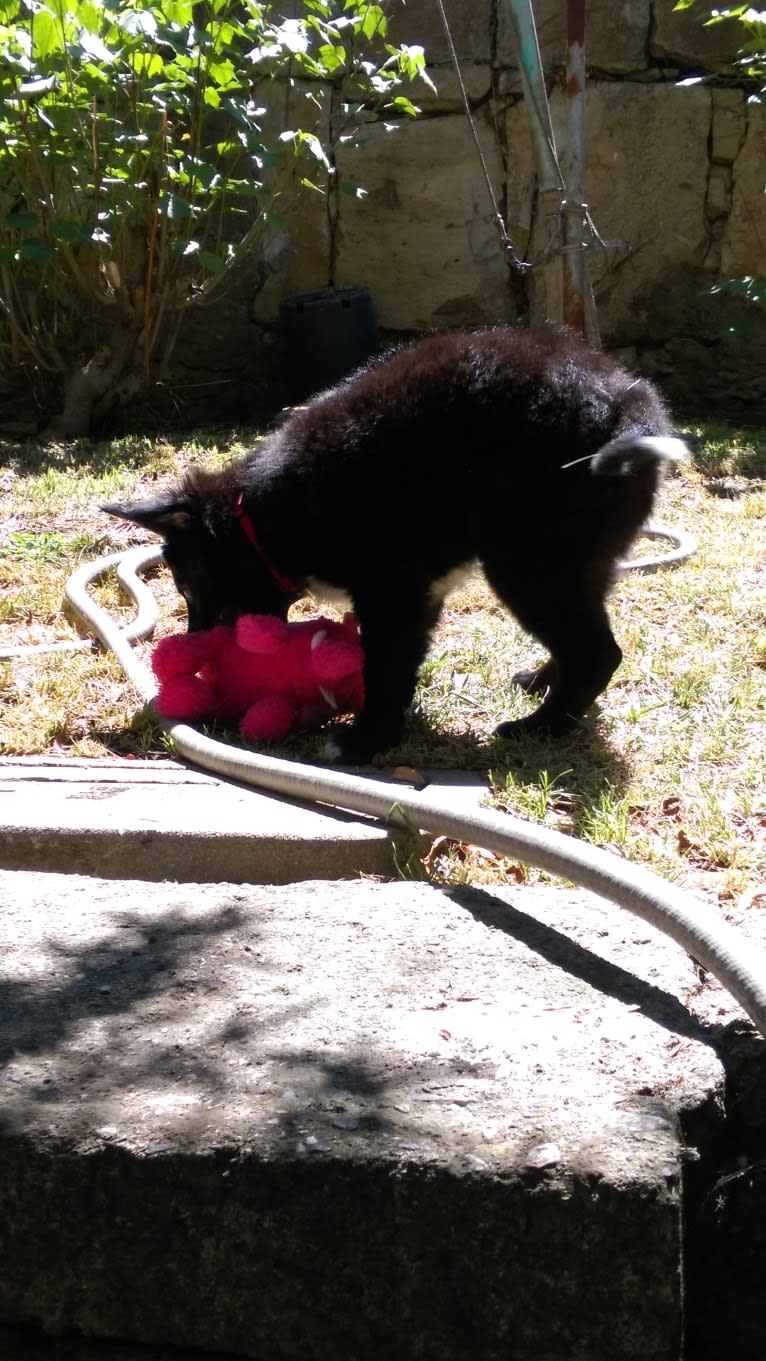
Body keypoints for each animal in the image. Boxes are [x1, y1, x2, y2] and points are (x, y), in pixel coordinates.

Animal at [103, 323, 683, 762]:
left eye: (190, 589)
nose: (193, 658)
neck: (270, 512)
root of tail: (629, 405)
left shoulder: (391, 593)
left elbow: (382, 667)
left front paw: (363, 743)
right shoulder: (420, 596)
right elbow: (398, 667)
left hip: (527, 563)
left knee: (597, 652)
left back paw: (540, 728)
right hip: (578, 562)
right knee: (580, 637)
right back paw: (543, 683)